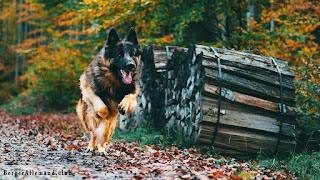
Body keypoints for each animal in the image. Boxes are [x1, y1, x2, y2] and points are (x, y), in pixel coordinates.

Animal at [77, 27, 141, 155]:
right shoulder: (86, 86)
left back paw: (101, 149)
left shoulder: (134, 93)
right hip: (88, 118)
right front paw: (103, 112)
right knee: (93, 133)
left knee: (102, 137)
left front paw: (123, 105)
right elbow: (100, 104)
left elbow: (129, 96)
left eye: (132, 54)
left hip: (110, 126)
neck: (115, 80)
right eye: (119, 54)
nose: (131, 65)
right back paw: (91, 146)